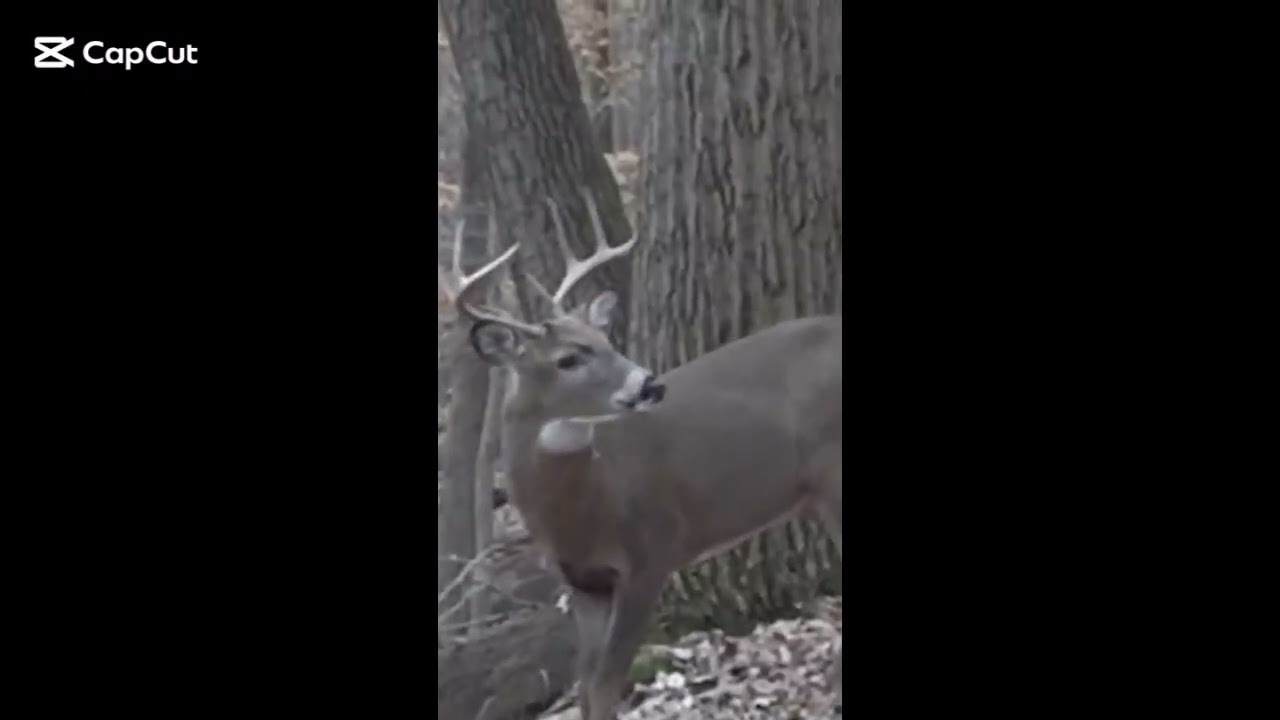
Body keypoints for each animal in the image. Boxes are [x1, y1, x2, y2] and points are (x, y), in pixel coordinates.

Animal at [439, 190, 842, 720]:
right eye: (568, 358)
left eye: (606, 341)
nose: (650, 384)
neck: (590, 505)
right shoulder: (582, 582)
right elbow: (587, 686)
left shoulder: (653, 551)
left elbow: (607, 684)